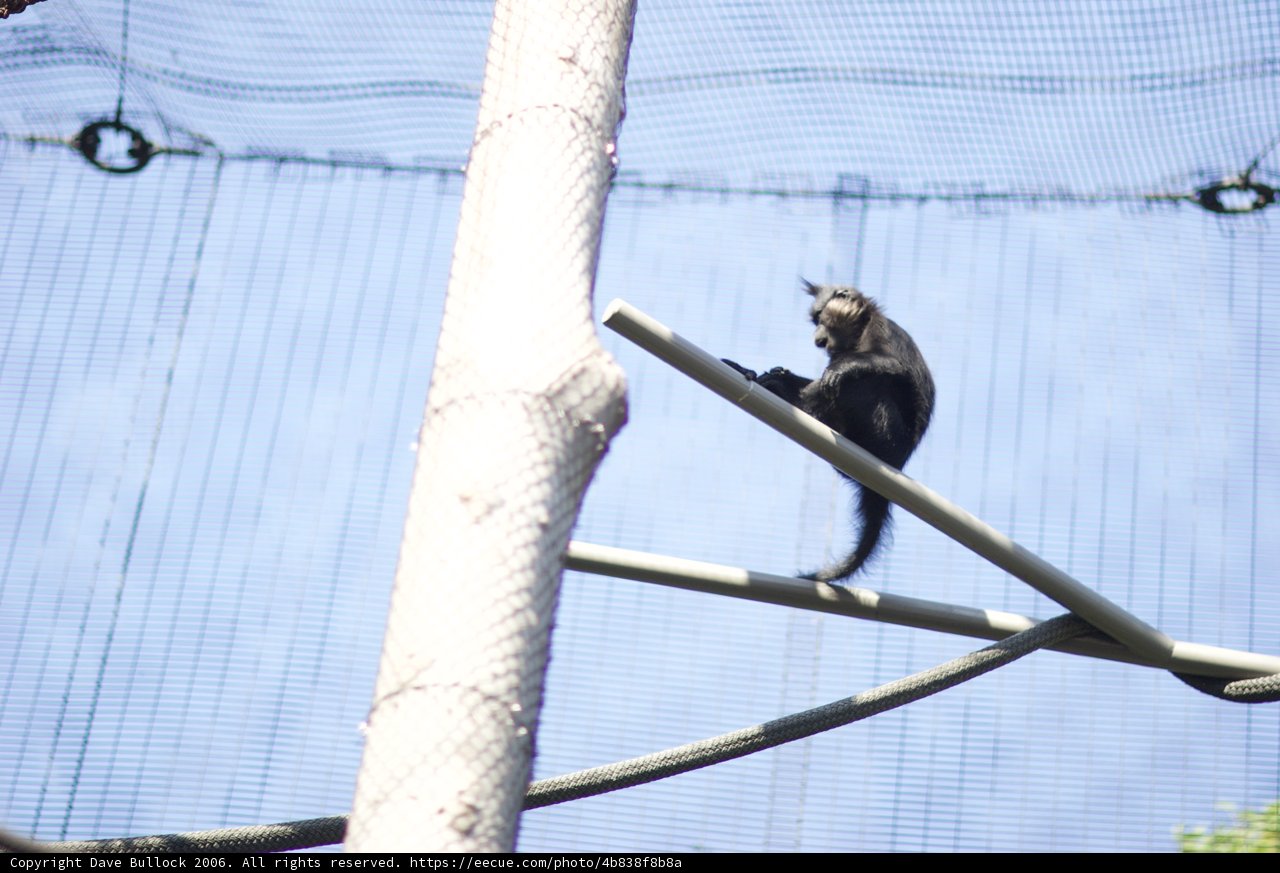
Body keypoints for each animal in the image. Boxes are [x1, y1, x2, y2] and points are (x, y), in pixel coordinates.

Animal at [723, 281, 935, 582]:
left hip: (888, 436)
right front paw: (767, 376)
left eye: (821, 318)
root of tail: (899, 461)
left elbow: (894, 365)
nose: (818, 339)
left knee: (864, 383)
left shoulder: (882, 328)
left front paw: (838, 370)